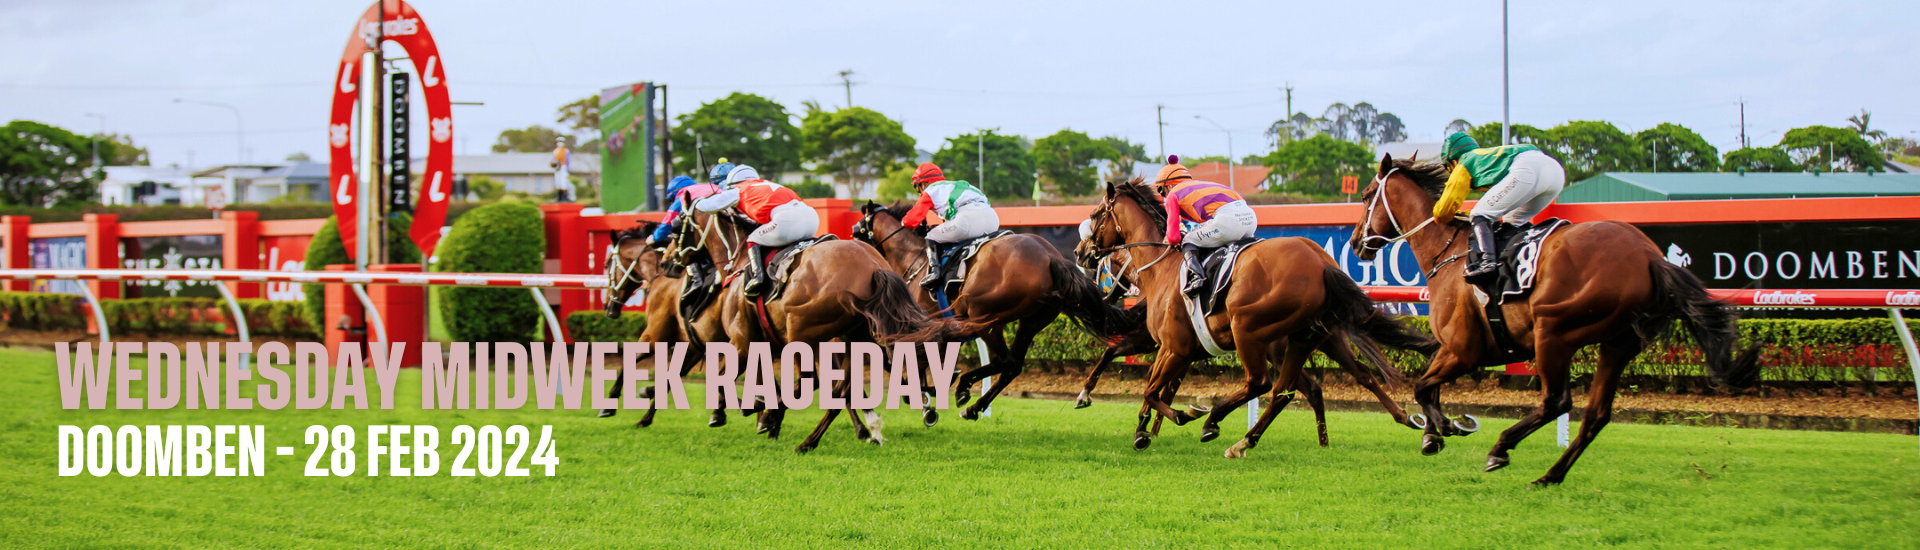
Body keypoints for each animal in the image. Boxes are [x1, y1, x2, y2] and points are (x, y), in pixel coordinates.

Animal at [679, 203, 967, 453]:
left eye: (678, 225)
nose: (673, 260)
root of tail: (873, 266)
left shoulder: (743, 340)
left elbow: (723, 374)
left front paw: (734, 412)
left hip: (801, 329)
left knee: (816, 381)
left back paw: (782, 423)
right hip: (852, 337)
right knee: (841, 389)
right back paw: (809, 439)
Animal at [848, 201, 1128, 421]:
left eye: (858, 227)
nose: (850, 245)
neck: (914, 258)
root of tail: (1051, 258)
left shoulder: (927, 322)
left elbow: (915, 358)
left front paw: (924, 399)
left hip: (985, 315)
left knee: (1006, 361)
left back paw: (964, 389)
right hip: (1029, 321)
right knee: (1013, 365)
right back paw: (973, 405)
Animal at [1075, 176, 1436, 455]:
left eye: (1095, 214)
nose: (1080, 253)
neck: (1161, 267)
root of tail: (1321, 262)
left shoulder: (1173, 346)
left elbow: (1150, 388)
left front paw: (1179, 416)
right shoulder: (1179, 350)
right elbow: (1151, 384)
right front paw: (1143, 430)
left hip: (1248, 328)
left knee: (1261, 382)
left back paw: (1215, 421)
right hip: (1309, 337)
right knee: (1311, 386)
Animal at [1351, 154, 1758, 484]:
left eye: (1367, 195)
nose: (1356, 242)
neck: (1447, 251)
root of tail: (1650, 257)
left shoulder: (1464, 351)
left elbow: (1422, 386)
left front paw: (1442, 430)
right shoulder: (1452, 350)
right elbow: (1427, 386)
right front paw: (1439, 429)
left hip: (1553, 333)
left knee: (1557, 401)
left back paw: (1501, 449)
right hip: (1617, 344)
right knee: (1596, 415)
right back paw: (1550, 475)